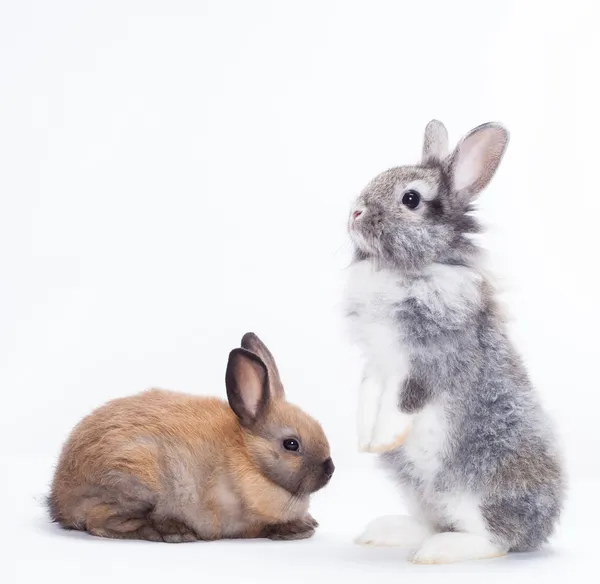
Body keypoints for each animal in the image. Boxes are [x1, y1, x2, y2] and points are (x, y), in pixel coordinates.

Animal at [47, 334, 336, 544]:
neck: (249, 458)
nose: (330, 469)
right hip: (136, 481)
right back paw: (176, 532)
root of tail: (60, 501)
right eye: (291, 444)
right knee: (101, 523)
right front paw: (298, 529)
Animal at [344, 121, 564, 564]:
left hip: (479, 485)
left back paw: (437, 551)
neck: (406, 271)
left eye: (411, 199)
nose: (354, 212)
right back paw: (387, 532)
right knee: (434, 522)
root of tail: (539, 531)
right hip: (420, 492)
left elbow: (400, 402)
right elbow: (367, 396)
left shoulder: (427, 362)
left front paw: (383, 439)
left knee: (495, 540)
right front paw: (365, 442)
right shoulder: (375, 363)